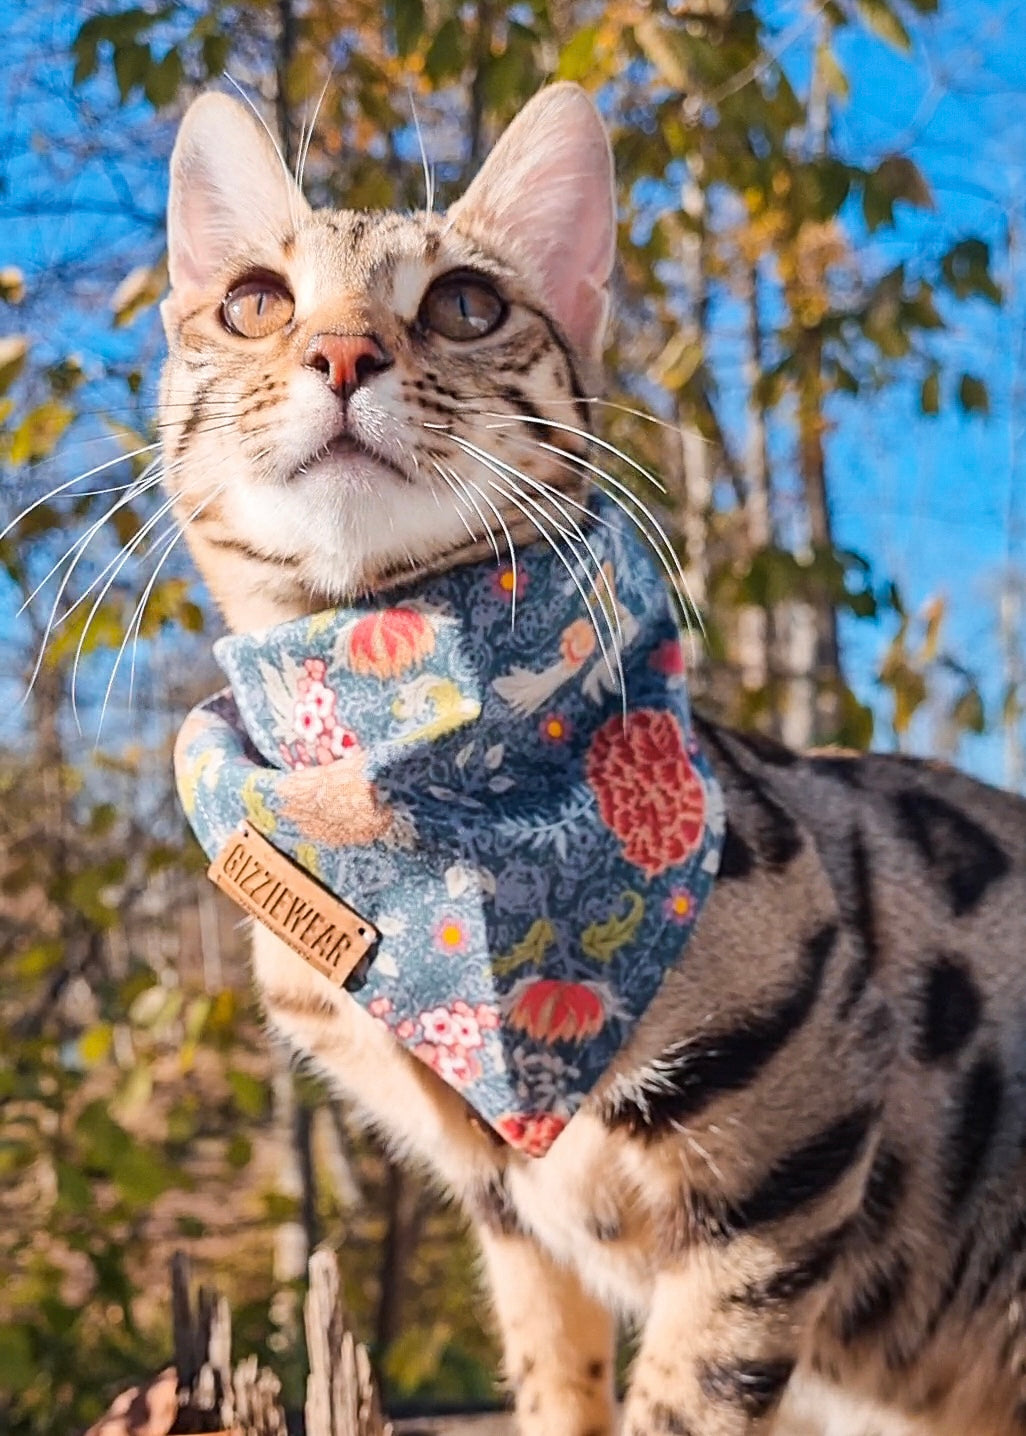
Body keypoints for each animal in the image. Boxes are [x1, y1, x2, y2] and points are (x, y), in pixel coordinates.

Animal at [155, 84, 1023, 1436]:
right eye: (254, 301)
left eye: (467, 303)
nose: (342, 355)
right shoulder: (509, 1208)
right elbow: (553, 1380)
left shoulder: (796, 1144)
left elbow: (683, 1398)